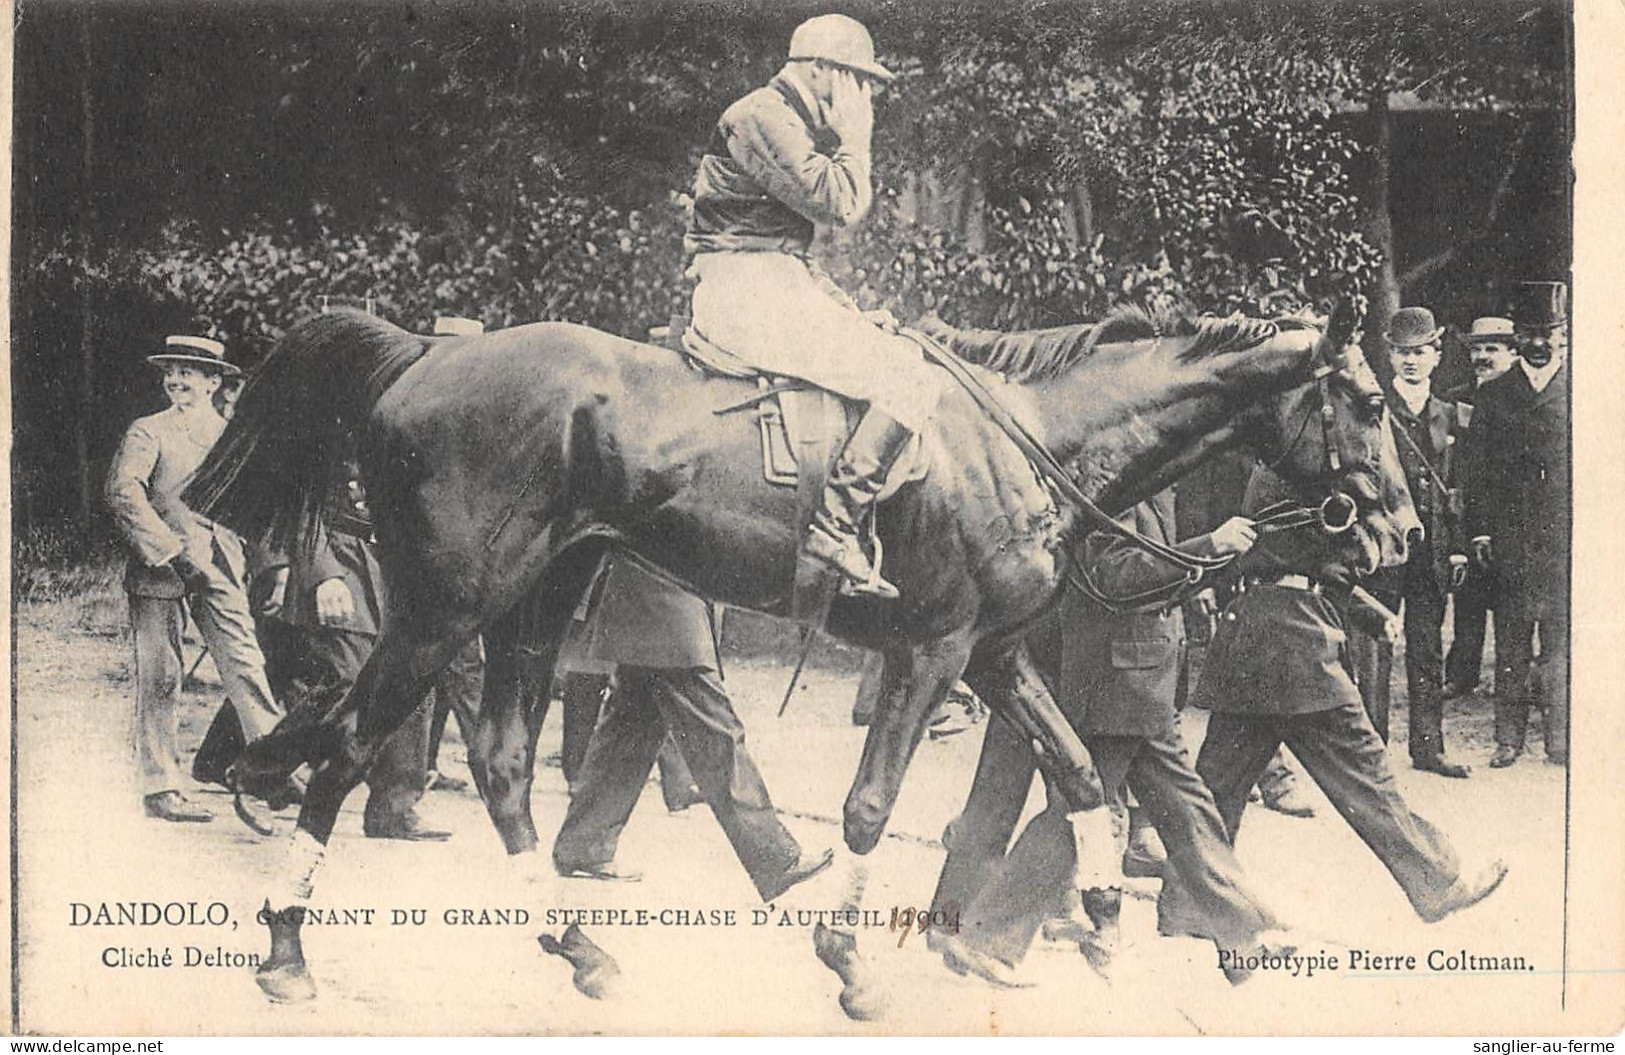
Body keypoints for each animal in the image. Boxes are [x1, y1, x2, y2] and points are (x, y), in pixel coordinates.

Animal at [184, 295, 1417, 1001]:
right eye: (1363, 399)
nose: (1402, 530)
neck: (1025, 435)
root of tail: (418, 358)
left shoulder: (992, 655)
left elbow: (1077, 774)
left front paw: (1106, 912)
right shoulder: (933, 649)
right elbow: (873, 804)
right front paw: (847, 954)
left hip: (538, 600)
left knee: (494, 761)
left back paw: (572, 940)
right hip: (447, 606)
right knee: (347, 743)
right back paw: (285, 948)